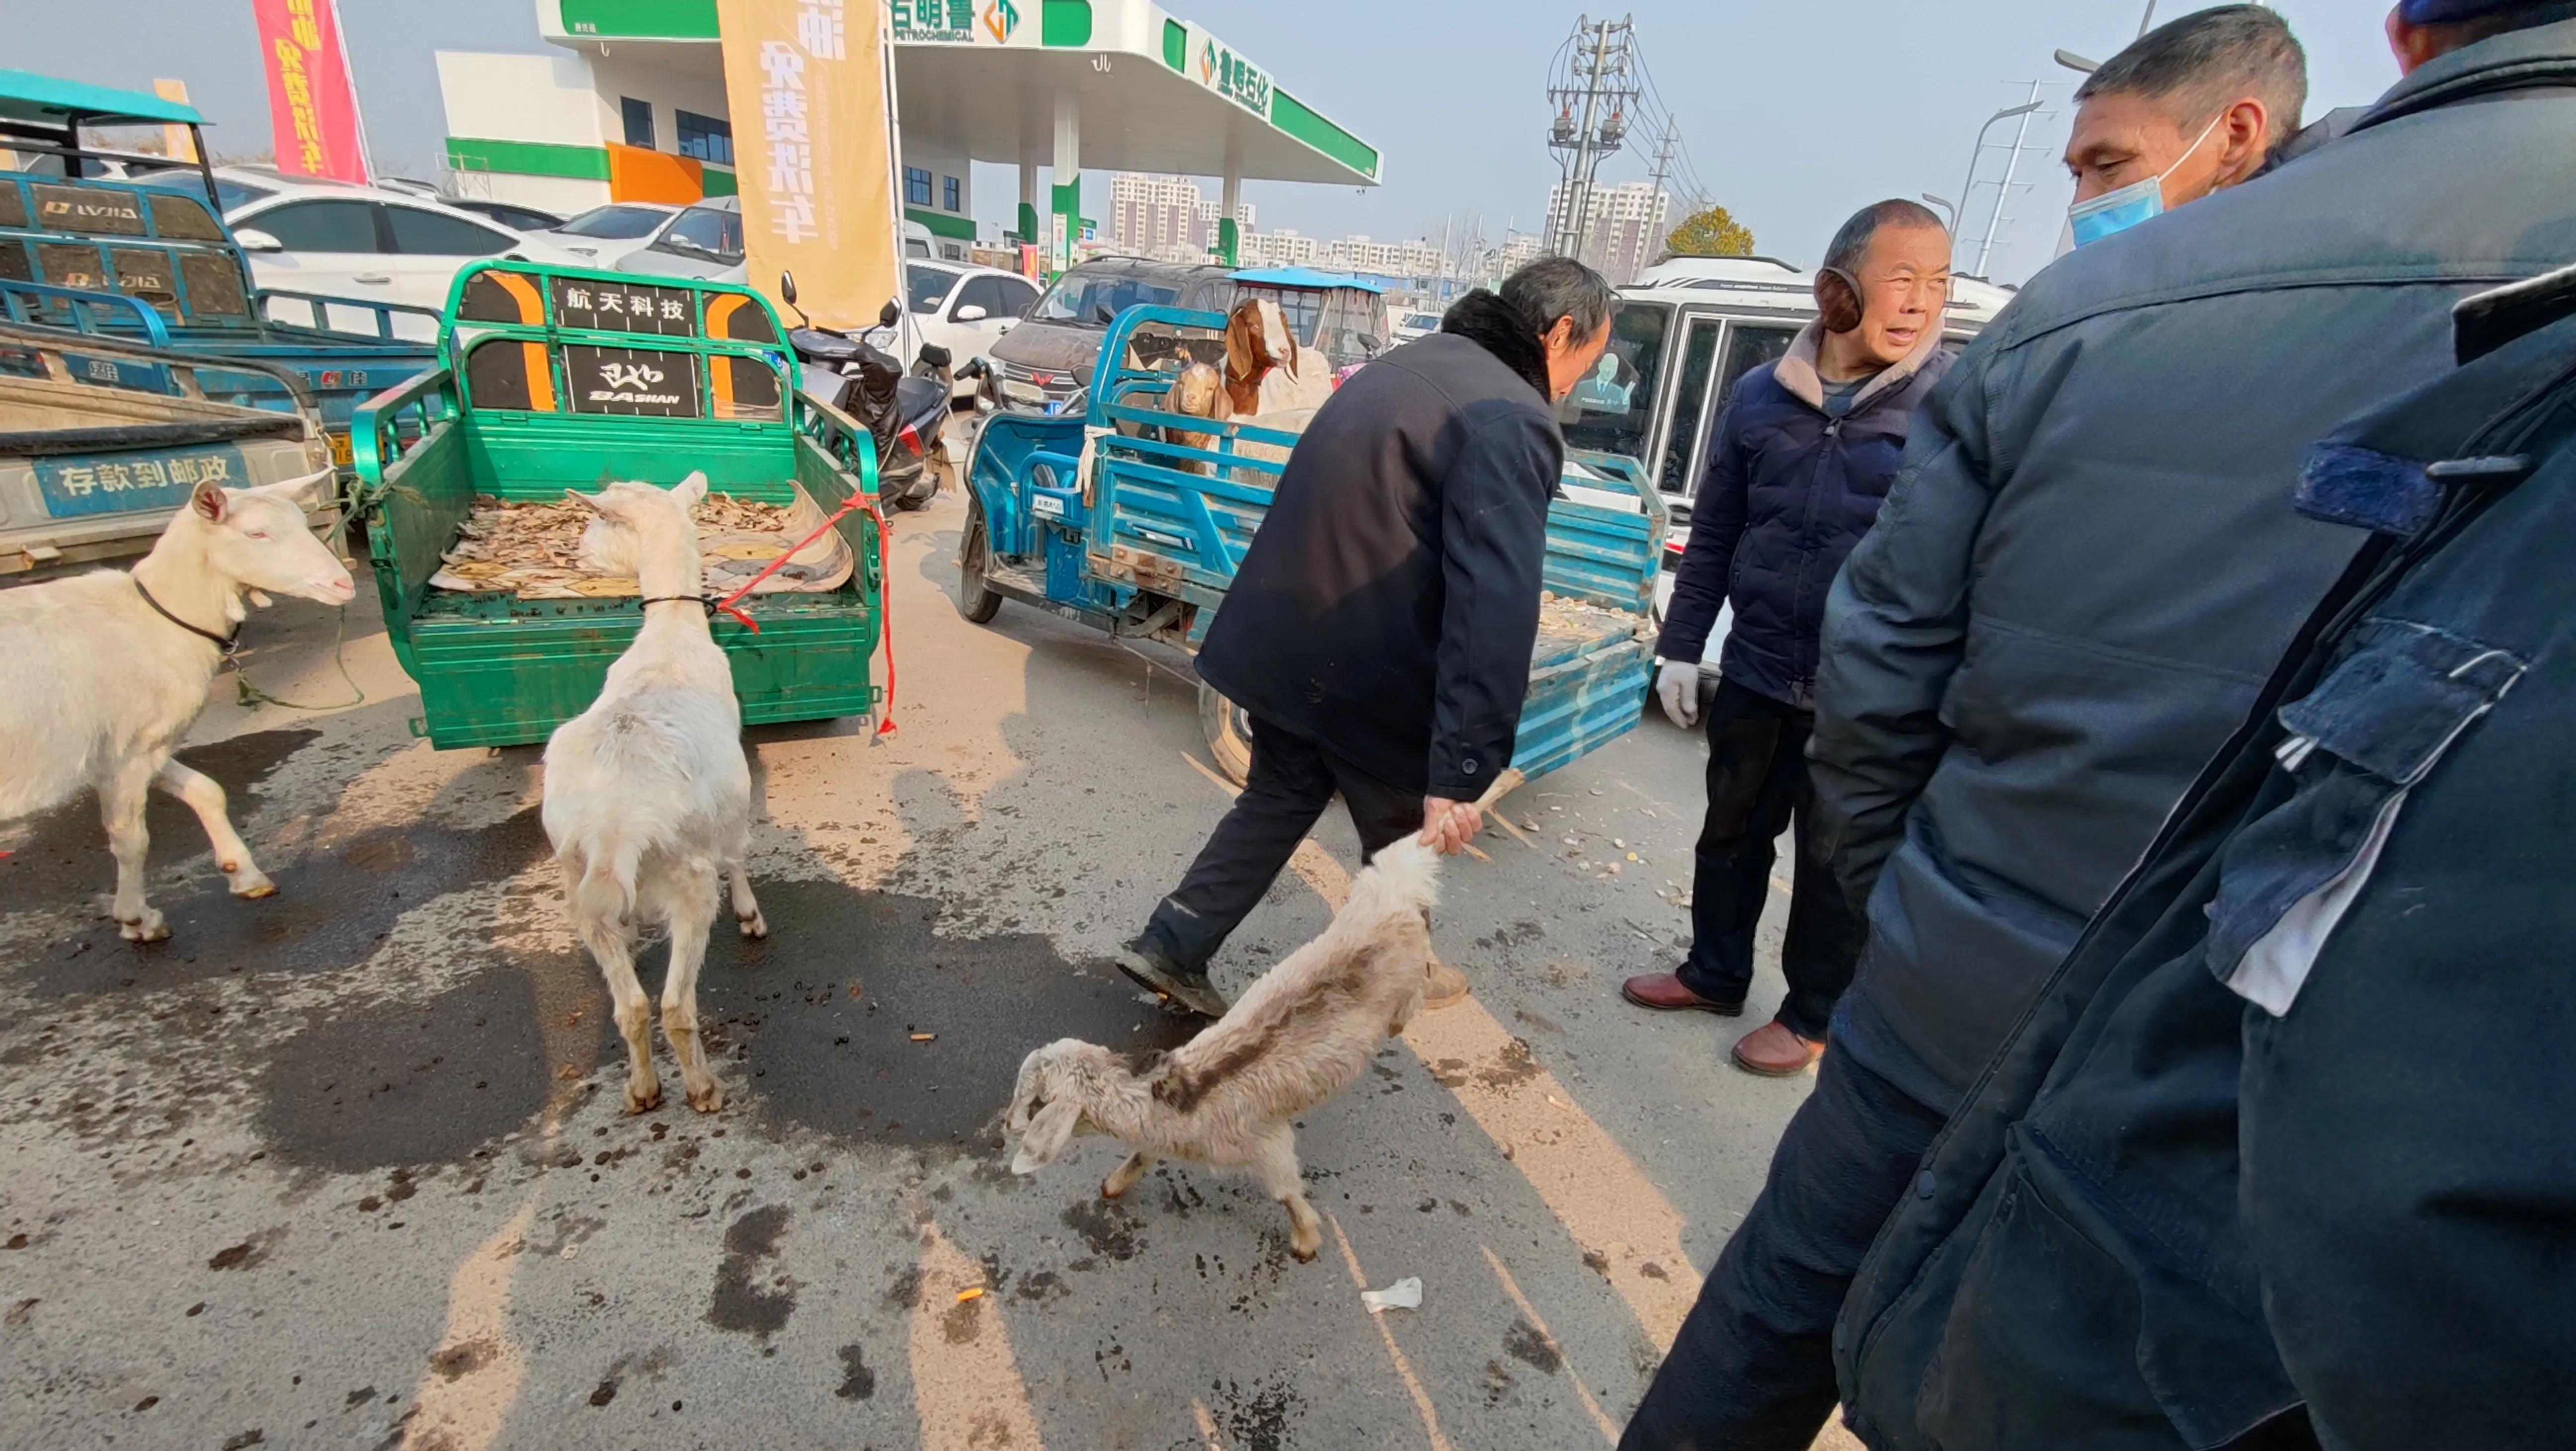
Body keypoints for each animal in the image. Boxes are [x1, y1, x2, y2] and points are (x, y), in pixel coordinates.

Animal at [1, 472, 358, 938]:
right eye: (255, 533)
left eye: (302, 522)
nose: (344, 585)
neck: (155, 618)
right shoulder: (125, 751)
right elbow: (131, 839)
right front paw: (137, 918)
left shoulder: (141, 743)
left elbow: (207, 791)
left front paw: (246, 876)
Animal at [546, 472, 767, 1118]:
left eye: (601, 518)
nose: (579, 554)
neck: (670, 637)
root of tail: (614, 827)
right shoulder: (733, 795)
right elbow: (737, 851)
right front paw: (750, 914)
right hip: (687, 885)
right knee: (675, 1006)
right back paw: (702, 1089)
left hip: (578, 889)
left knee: (634, 1006)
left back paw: (644, 1088)